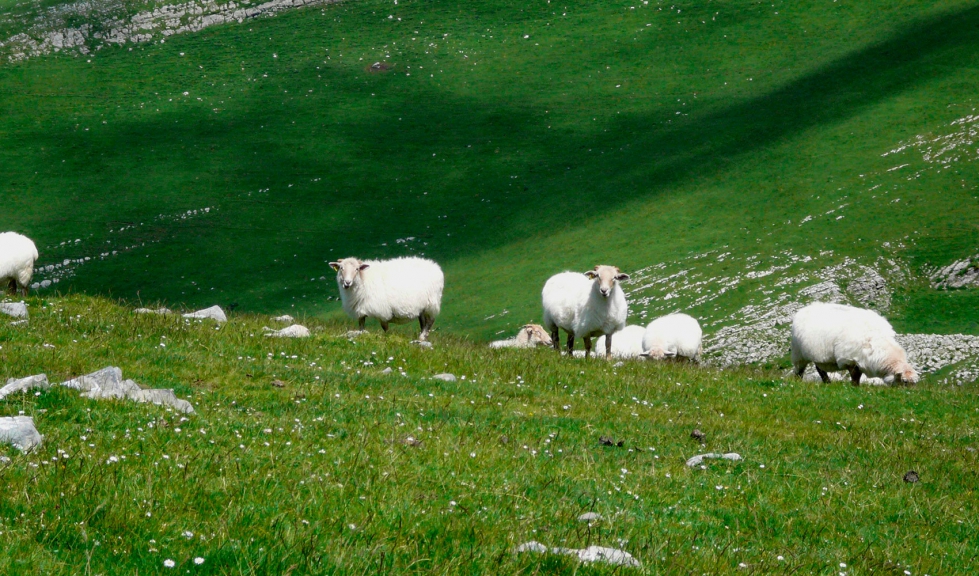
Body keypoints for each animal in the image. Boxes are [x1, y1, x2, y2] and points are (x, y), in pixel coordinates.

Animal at [788, 302, 920, 388]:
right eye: (905, 382)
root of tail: (805, 308)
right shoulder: (850, 359)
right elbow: (855, 375)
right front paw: (855, 387)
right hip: (798, 353)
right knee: (800, 370)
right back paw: (799, 381)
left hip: (819, 356)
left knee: (819, 369)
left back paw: (827, 382)